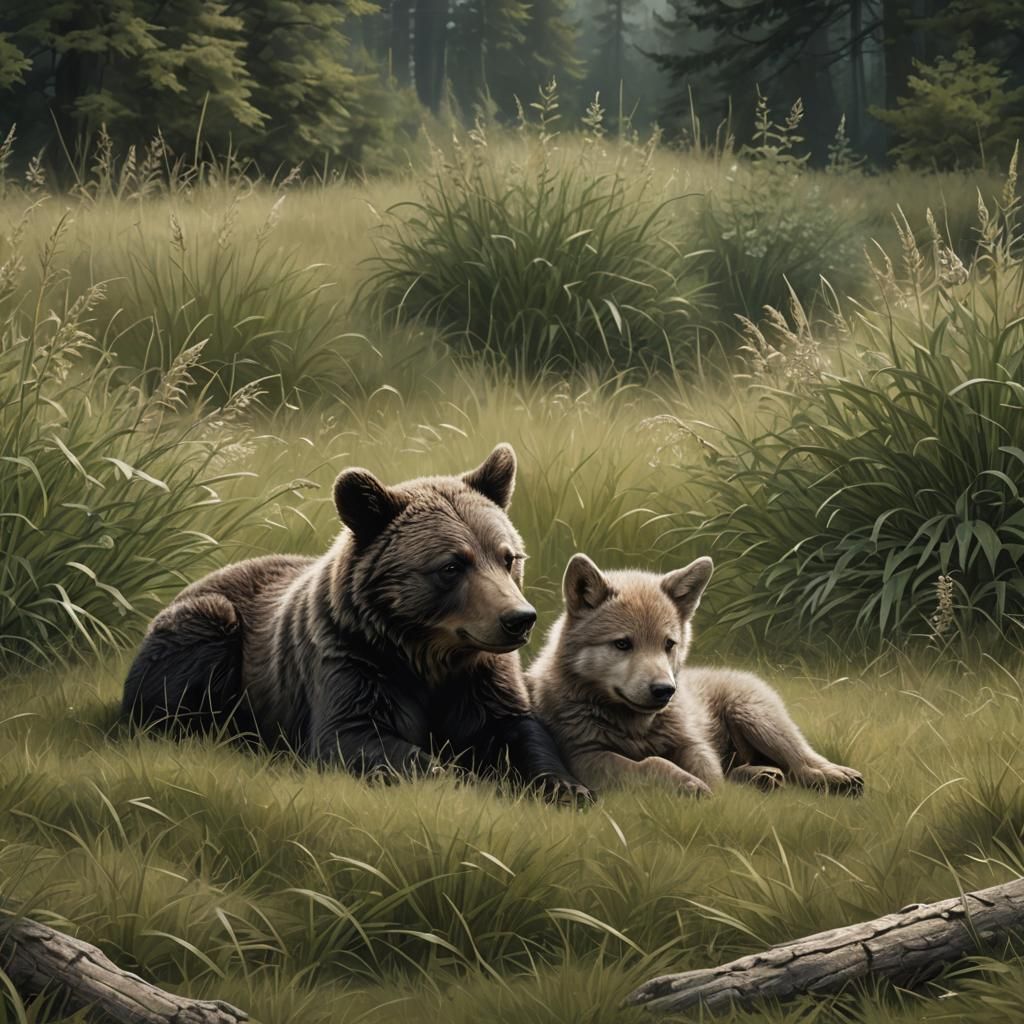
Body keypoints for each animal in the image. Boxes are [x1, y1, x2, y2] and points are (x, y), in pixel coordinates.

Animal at [122, 444, 592, 803]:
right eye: (452, 565)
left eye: (507, 557)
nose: (519, 619)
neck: (425, 652)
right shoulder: (352, 658)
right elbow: (355, 735)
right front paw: (460, 778)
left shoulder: (480, 677)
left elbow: (519, 729)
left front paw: (567, 788)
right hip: (206, 623)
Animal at [526, 553, 863, 797]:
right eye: (622, 644)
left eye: (668, 644)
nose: (665, 690)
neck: (635, 727)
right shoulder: (585, 756)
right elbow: (650, 763)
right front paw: (686, 784)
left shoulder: (692, 743)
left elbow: (709, 773)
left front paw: (709, 793)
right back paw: (760, 776)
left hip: (756, 717)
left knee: (801, 759)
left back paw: (834, 775)